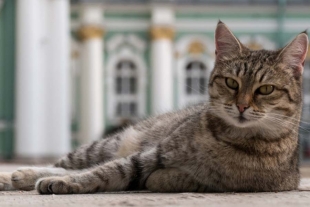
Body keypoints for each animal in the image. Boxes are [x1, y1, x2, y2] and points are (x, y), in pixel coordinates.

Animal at [0, 21, 308, 194]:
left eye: (265, 89)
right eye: (231, 82)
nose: (241, 105)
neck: (227, 138)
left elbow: (110, 174)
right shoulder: (150, 154)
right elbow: (104, 171)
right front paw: (61, 181)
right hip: (106, 145)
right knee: (66, 165)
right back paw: (17, 175)